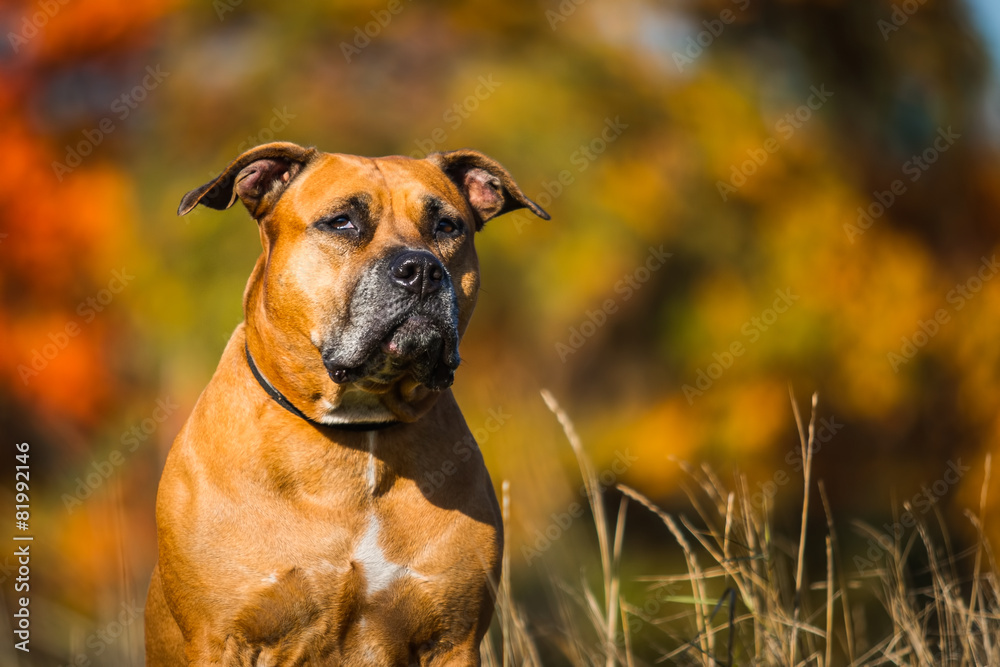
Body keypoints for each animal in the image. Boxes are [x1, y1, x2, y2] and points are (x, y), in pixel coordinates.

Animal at [148, 144, 552, 664]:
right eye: (341, 222)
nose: (422, 270)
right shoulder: (219, 640)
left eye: (447, 226)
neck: (357, 428)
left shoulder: (453, 640)